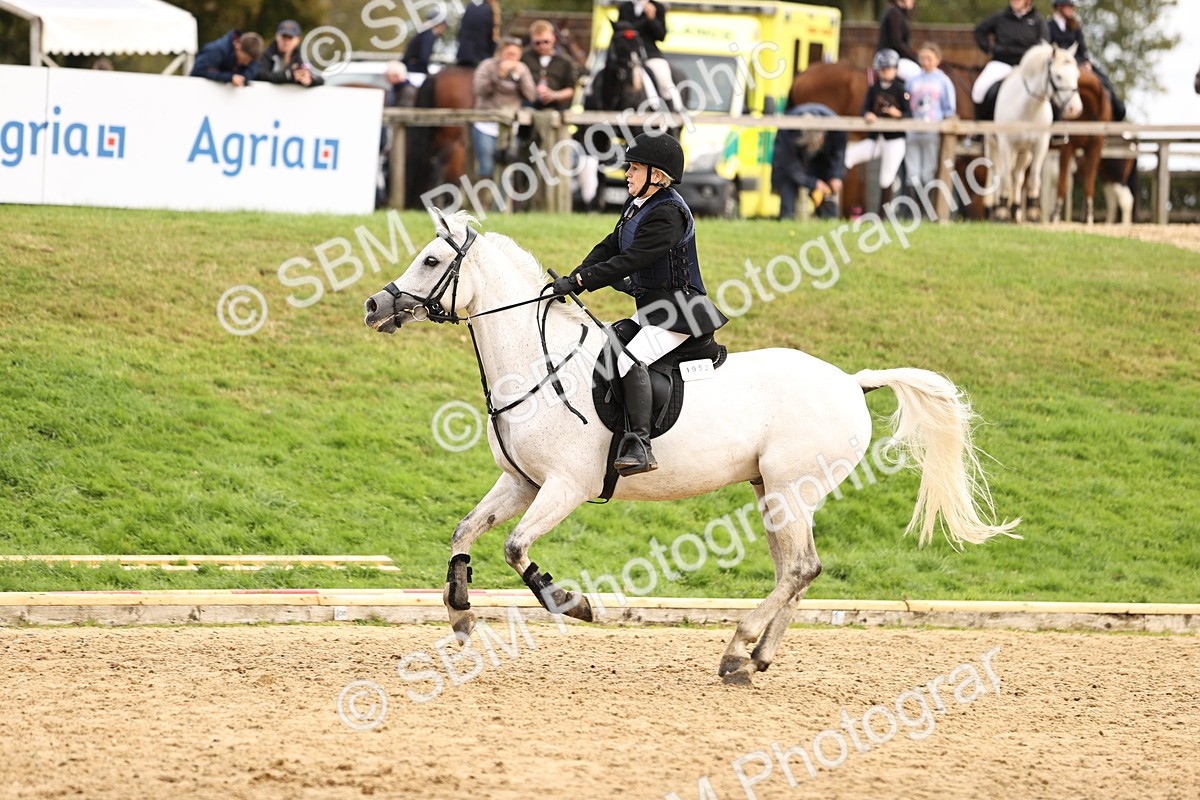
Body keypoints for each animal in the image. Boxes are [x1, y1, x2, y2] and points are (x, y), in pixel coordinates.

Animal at [363, 209, 1021, 685]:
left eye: (430, 259)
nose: (375, 306)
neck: (538, 362)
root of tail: (849, 381)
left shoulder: (565, 487)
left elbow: (515, 547)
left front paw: (571, 601)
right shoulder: (521, 482)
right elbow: (465, 532)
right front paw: (459, 612)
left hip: (791, 488)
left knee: (799, 568)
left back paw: (737, 650)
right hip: (774, 493)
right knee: (797, 570)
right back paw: (756, 658)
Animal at [988, 43, 1082, 223]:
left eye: (1077, 75)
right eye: (1058, 76)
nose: (1075, 109)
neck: (1027, 108)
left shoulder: (1040, 146)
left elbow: (1033, 179)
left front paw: (1033, 213)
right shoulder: (1005, 145)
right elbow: (1004, 178)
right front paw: (1001, 212)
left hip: (1024, 152)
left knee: (1017, 177)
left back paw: (1015, 210)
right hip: (993, 146)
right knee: (997, 174)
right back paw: (996, 209)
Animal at [1051, 69, 1133, 225]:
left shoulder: (1087, 150)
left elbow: (1083, 185)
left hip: (1115, 172)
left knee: (1125, 199)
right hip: (1106, 175)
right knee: (1114, 200)